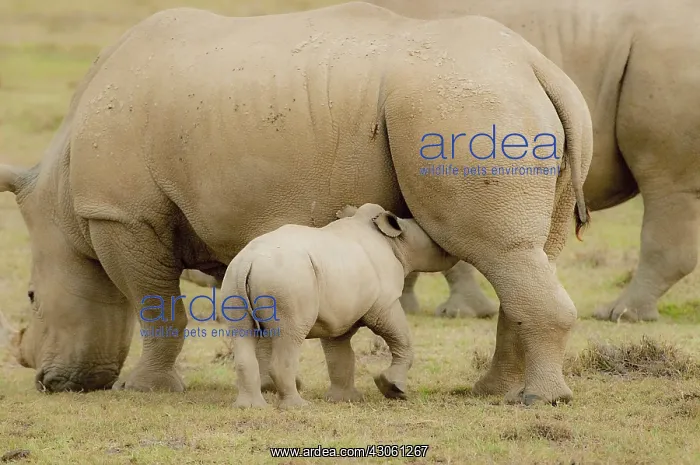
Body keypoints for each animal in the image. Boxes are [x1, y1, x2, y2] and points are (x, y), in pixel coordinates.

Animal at [0, 2, 591, 405]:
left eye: (31, 296)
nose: (48, 382)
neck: (61, 195)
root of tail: (538, 67)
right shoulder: (227, 215)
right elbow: (247, 305)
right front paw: (269, 384)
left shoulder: (121, 214)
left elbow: (155, 304)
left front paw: (145, 389)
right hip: (495, 104)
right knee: (530, 256)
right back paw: (492, 393)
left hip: (462, 107)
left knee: (501, 250)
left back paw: (538, 400)